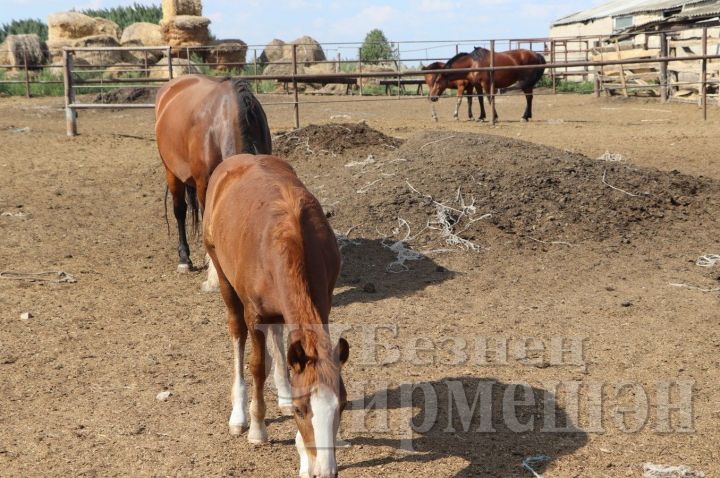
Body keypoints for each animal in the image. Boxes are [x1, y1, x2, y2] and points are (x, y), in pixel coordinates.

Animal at [202, 154, 348, 478]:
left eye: (342, 406)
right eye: (301, 410)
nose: (325, 471)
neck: (290, 240)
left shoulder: (323, 304)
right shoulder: (254, 313)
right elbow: (257, 366)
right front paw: (258, 429)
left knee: (280, 335)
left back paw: (281, 389)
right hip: (224, 277)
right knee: (237, 334)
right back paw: (239, 415)